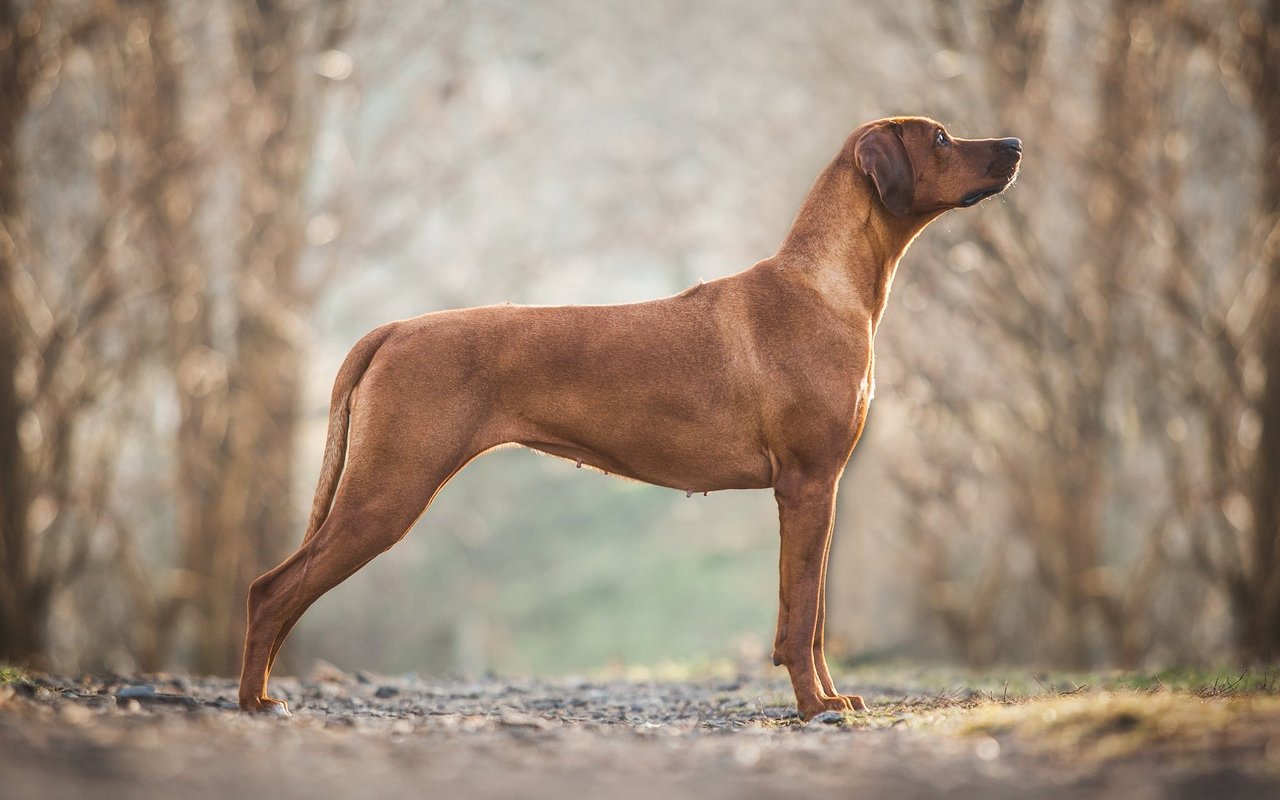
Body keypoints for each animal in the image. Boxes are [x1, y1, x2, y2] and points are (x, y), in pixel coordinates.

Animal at [238, 115, 1018, 721]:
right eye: (941, 137)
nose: (1013, 143)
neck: (824, 285)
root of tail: (394, 328)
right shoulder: (806, 485)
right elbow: (801, 620)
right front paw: (812, 708)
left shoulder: (819, 490)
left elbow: (814, 617)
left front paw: (830, 700)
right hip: (388, 491)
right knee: (271, 590)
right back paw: (253, 702)